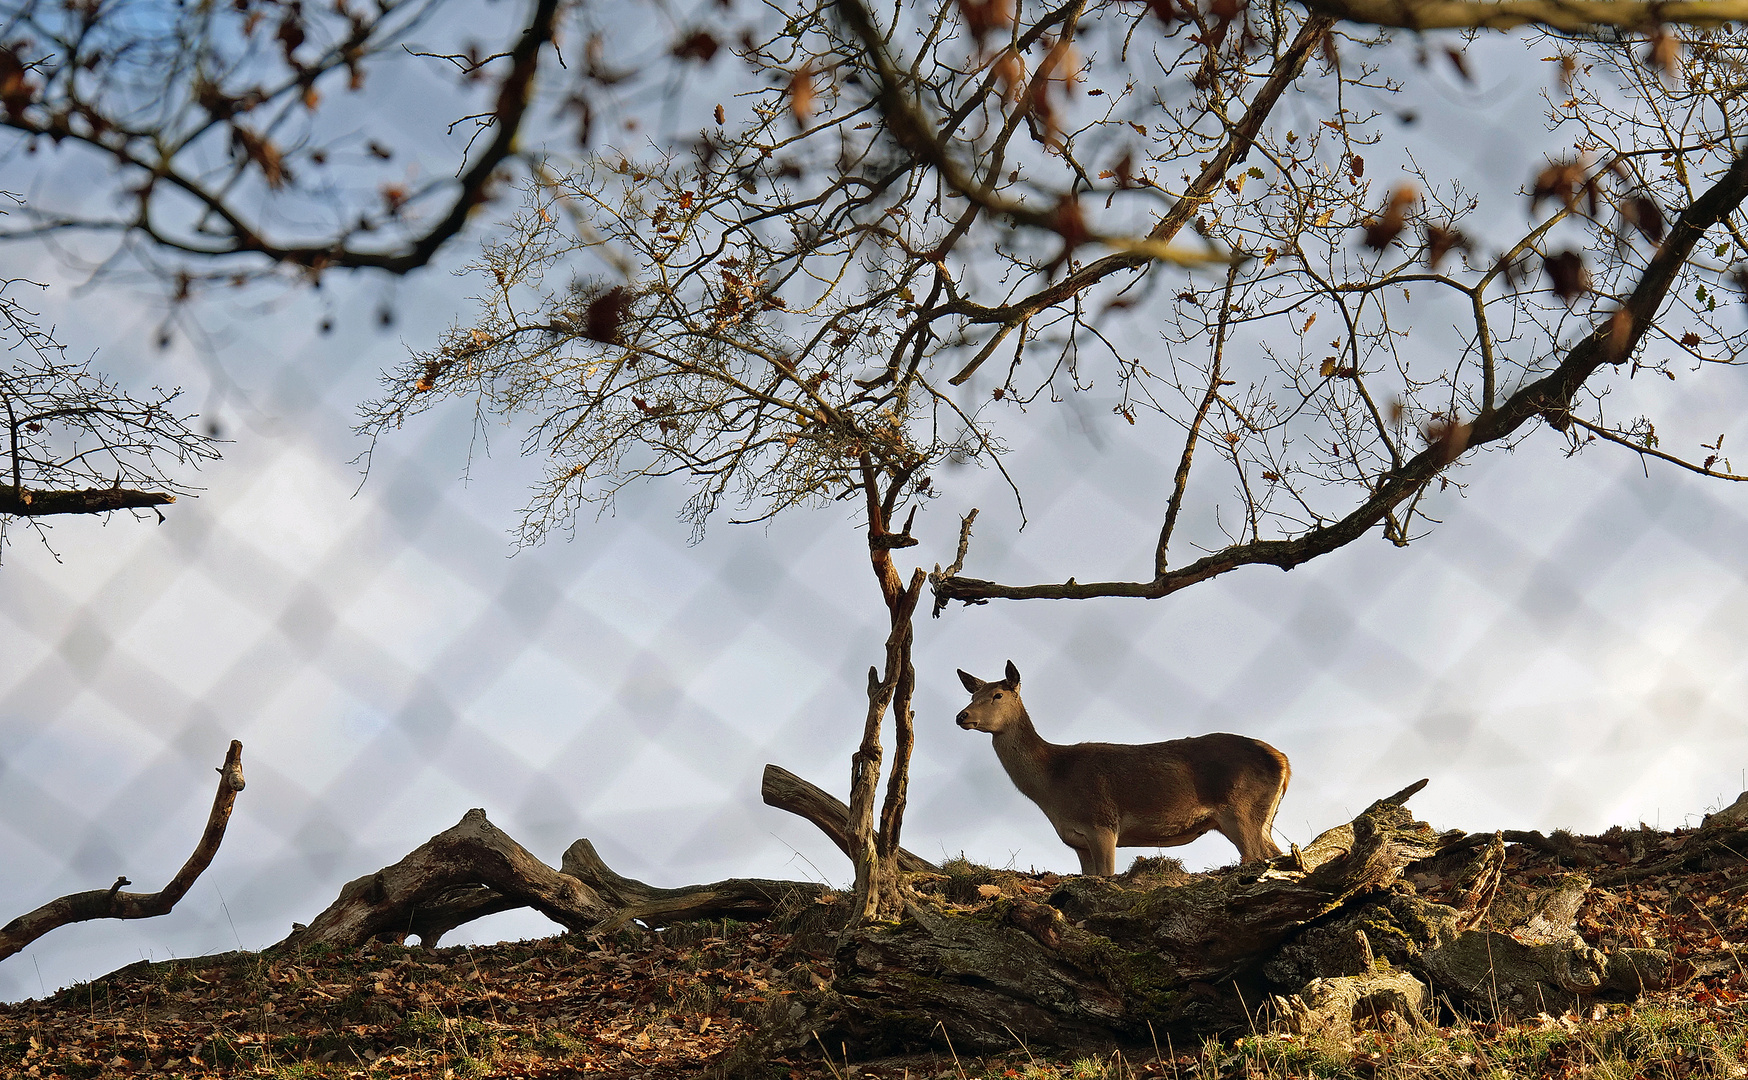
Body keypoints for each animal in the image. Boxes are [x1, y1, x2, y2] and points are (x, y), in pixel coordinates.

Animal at [950, 657, 1293, 873]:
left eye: (997, 694)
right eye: (973, 694)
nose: (961, 716)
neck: (1054, 783)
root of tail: (1284, 761)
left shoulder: (1102, 824)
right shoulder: (1078, 841)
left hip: (1241, 809)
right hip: (1261, 817)